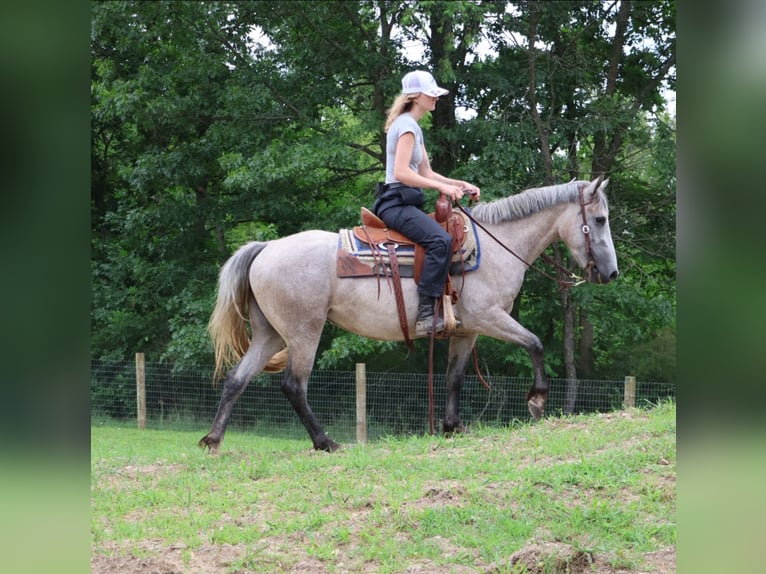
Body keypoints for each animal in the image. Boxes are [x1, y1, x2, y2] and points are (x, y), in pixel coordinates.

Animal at [199, 177, 618, 453]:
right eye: (599, 220)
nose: (611, 273)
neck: (495, 248)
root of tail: (266, 247)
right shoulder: (489, 317)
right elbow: (535, 343)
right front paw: (537, 401)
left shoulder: (466, 331)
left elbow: (454, 378)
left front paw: (452, 426)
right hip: (304, 332)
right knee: (293, 385)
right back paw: (325, 442)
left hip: (270, 334)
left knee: (237, 379)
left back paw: (213, 439)